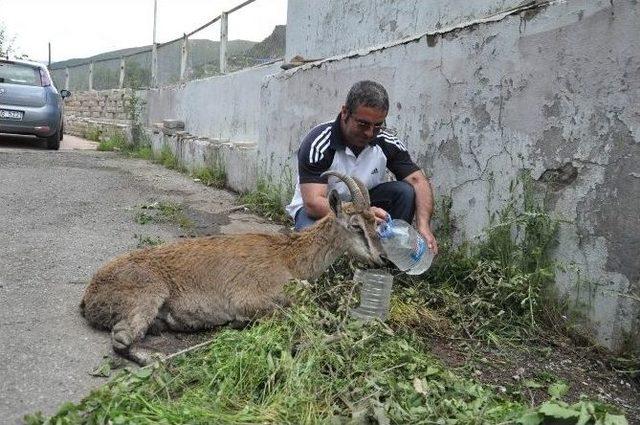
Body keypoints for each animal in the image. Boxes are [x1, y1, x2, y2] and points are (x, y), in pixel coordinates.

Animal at [84, 171, 384, 362]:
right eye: (356, 226)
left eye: (375, 222)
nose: (381, 258)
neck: (288, 257)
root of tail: (89, 297)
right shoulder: (250, 299)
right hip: (148, 293)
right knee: (122, 338)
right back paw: (156, 359)